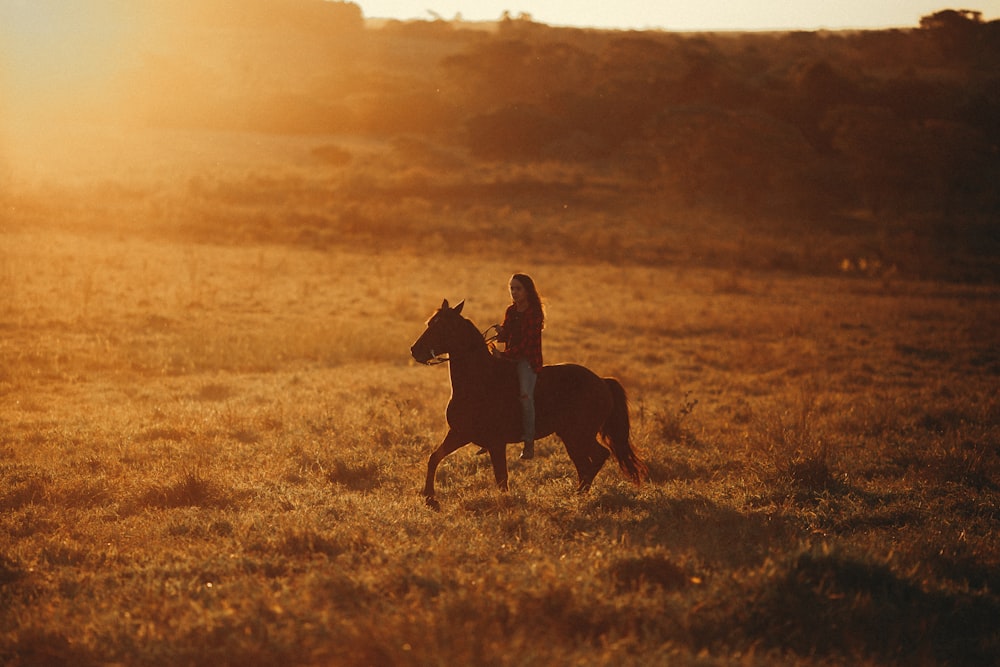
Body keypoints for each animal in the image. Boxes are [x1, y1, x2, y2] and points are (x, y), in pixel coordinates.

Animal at [408, 300, 648, 508]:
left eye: (443, 327)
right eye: (430, 323)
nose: (415, 350)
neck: (481, 381)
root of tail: (602, 381)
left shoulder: (496, 442)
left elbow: (501, 477)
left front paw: (505, 503)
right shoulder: (459, 434)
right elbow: (434, 458)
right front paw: (430, 498)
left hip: (579, 434)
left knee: (598, 456)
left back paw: (580, 496)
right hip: (570, 437)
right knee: (584, 463)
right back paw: (578, 495)